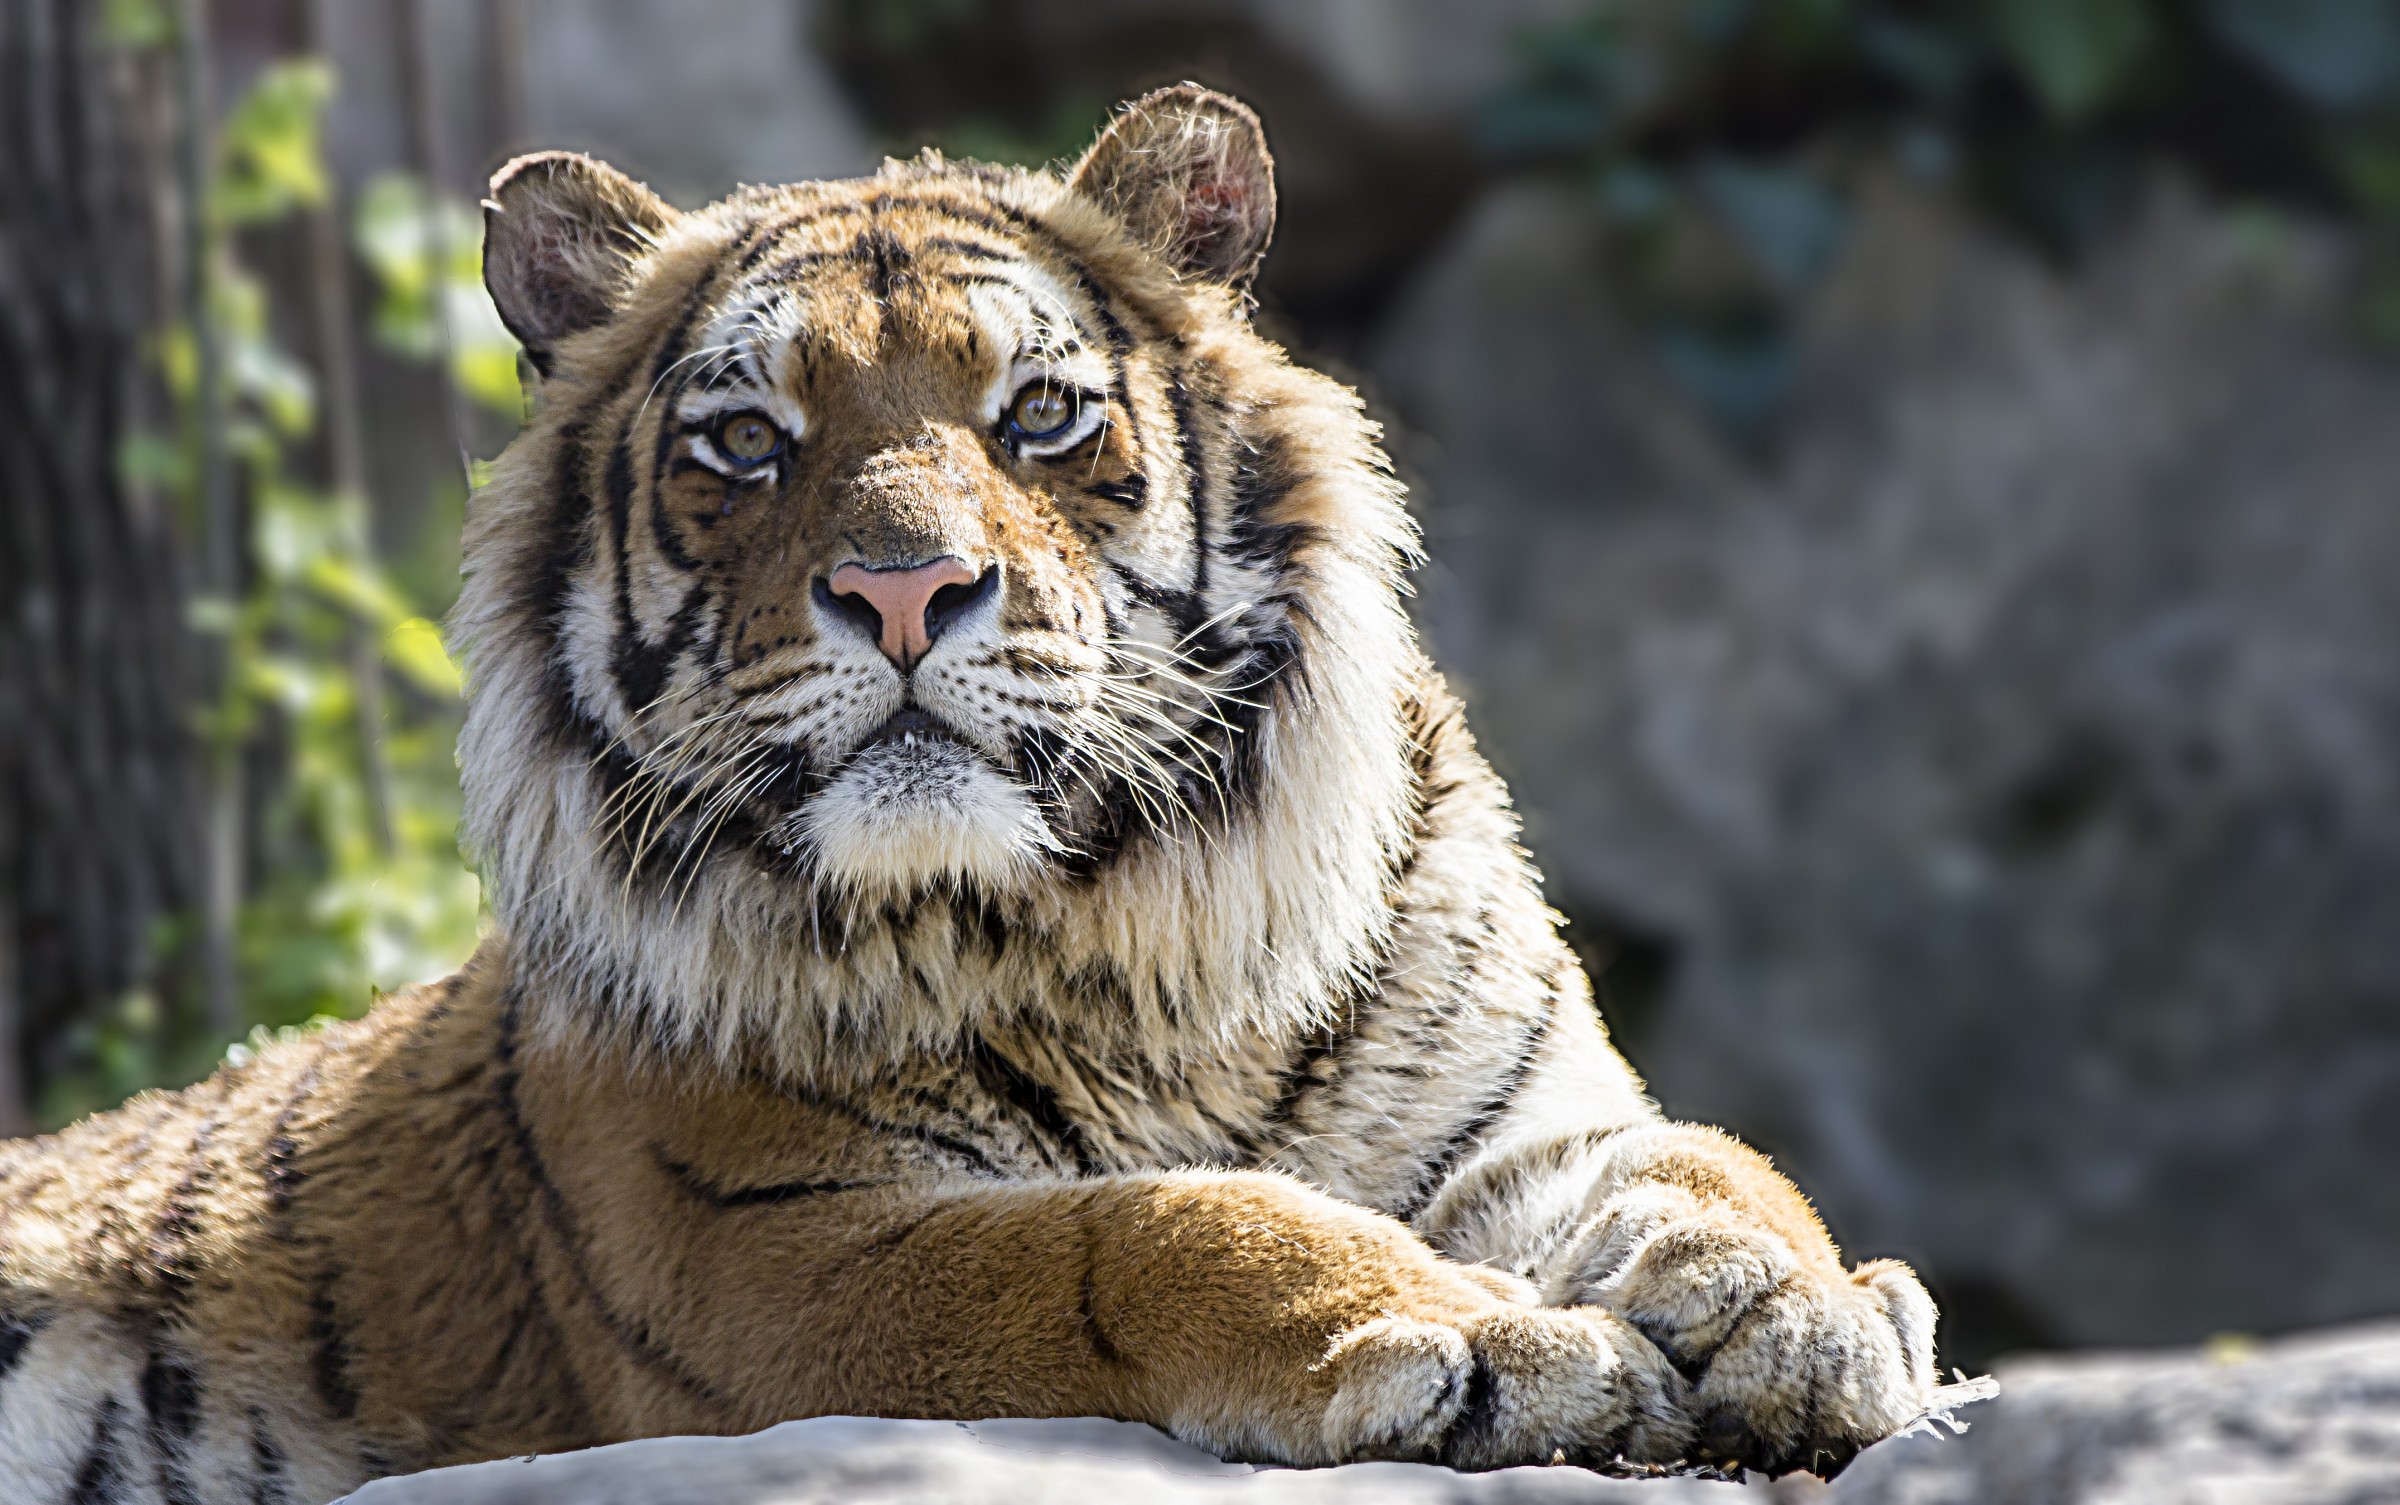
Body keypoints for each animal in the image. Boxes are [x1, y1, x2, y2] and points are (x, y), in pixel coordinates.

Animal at [0, 86, 1938, 1502]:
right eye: (745, 443)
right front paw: (1493, 1343)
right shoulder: (762, 1254)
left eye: (1038, 416)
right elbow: (1141, 1227)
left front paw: (1808, 1316)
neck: (1131, 937)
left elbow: (1721, 1162)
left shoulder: (1535, 1124)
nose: (906, 588)